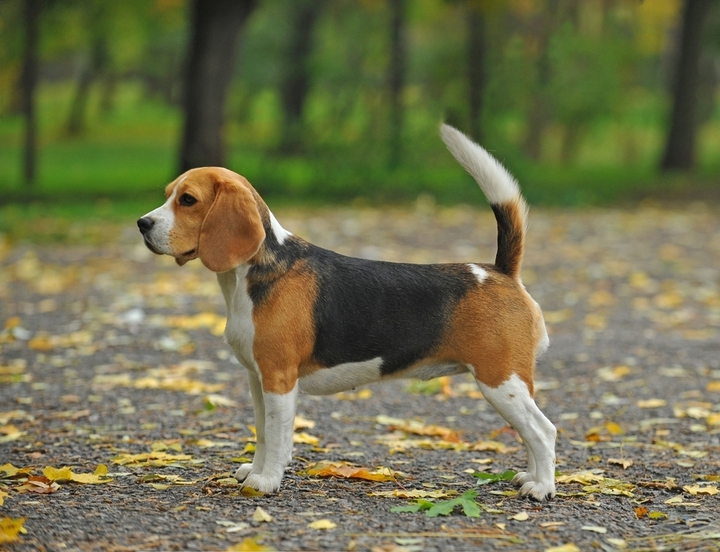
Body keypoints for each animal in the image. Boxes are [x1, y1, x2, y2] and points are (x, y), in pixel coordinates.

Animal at [139, 124, 556, 500]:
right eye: (167, 195)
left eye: (188, 200)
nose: (142, 223)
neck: (252, 273)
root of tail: (499, 271)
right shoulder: (257, 379)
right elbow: (262, 432)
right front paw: (253, 471)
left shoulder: (279, 378)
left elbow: (277, 437)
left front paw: (266, 482)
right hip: (509, 384)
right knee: (532, 433)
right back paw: (529, 477)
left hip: (500, 380)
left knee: (543, 431)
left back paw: (542, 488)